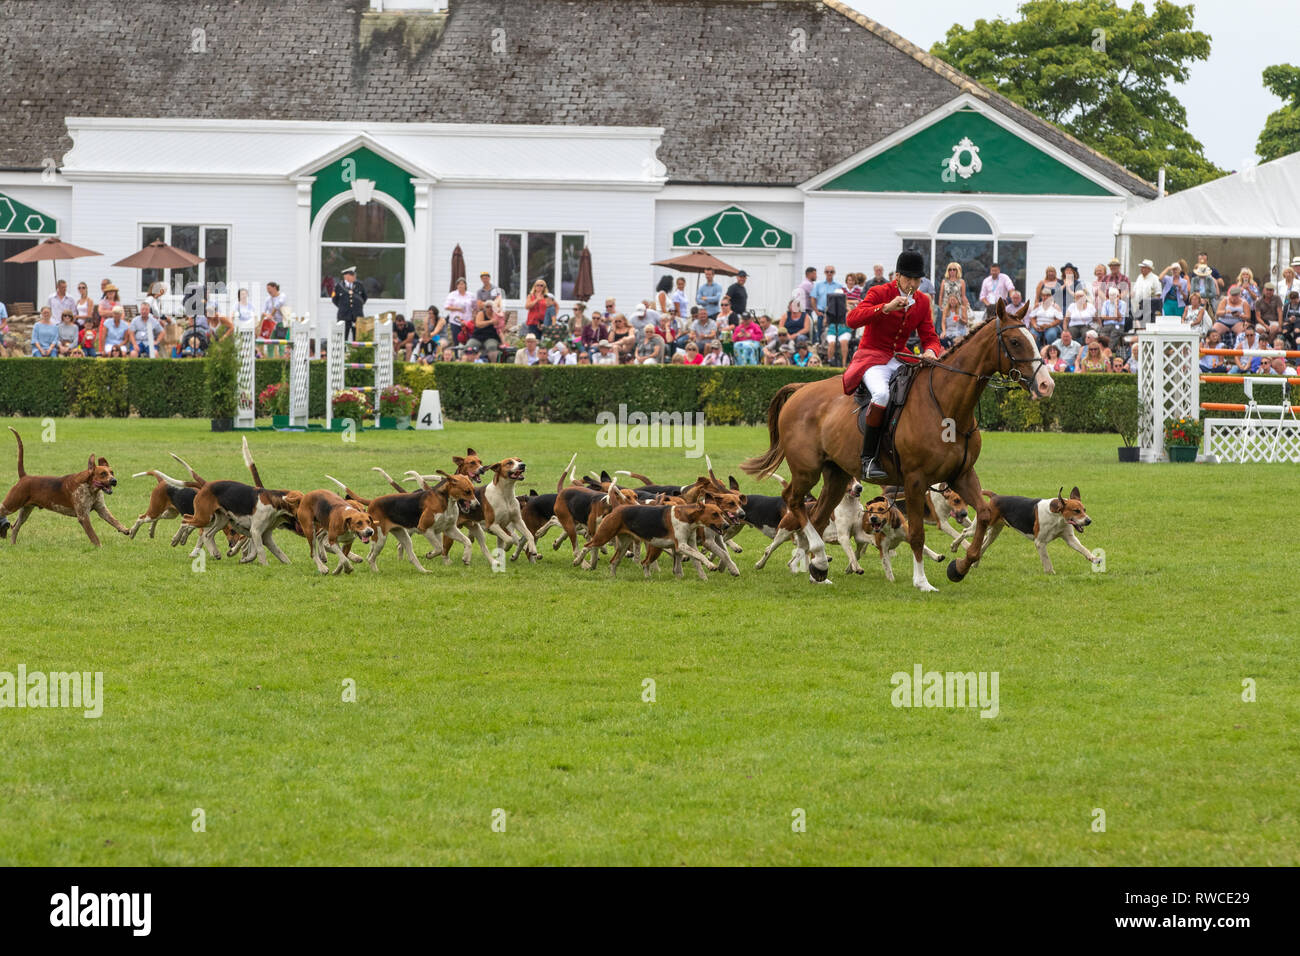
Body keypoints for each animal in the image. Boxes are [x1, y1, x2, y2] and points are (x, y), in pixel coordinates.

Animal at [0, 429, 128, 546]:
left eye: (112, 472)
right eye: (103, 474)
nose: (114, 481)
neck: (90, 488)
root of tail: (24, 476)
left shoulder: (102, 509)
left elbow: (114, 521)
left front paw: (126, 529)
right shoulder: (83, 516)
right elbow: (94, 537)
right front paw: (100, 548)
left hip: (25, 510)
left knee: (15, 527)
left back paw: (13, 545)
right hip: (10, 506)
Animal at [743, 304, 1055, 590]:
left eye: (1032, 337)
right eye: (1015, 341)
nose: (1046, 385)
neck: (947, 406)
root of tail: (801, 389)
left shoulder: (962, 474)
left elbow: (985, 515)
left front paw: (960, 566)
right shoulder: (915, 480)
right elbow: (917, 533)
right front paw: (922, 581)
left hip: (837, 474)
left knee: (818, 516)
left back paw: (818, 570)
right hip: (807, 470)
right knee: (795, 502)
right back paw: (818, 557)